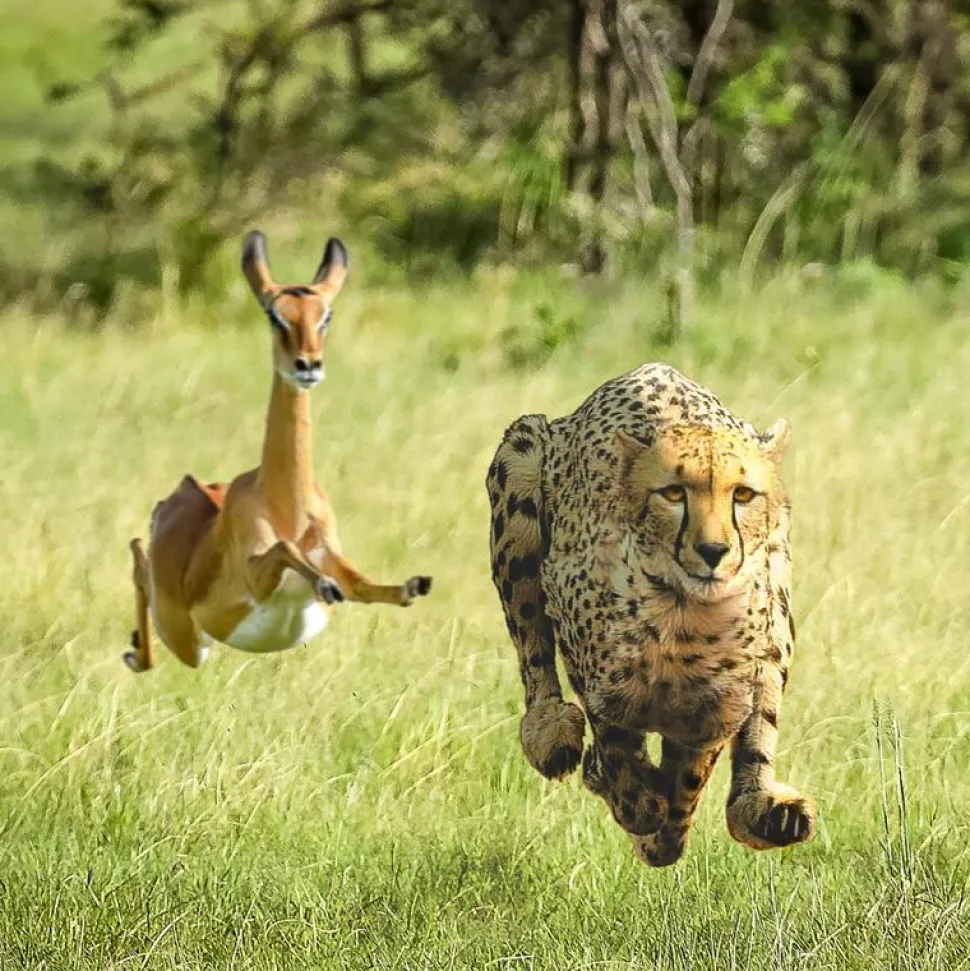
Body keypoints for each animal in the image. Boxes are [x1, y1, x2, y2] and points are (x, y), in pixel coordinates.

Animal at [126, 231, 432, 672]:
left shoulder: (334, 556)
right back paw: (134, 652)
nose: (308, 365)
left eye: (326, 315)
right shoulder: (258, 575)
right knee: (138, 560)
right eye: (275, 316)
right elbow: (287, 551)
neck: (286, 509)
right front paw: (325, 584)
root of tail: (180, 492)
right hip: (187, 639)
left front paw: (413, 585)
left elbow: (365, 584)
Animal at [486, 363, 816, 866]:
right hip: (521, 457)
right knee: (531, 647)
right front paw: (636, 805)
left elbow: (691, 772)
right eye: (673, 493)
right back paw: (551, 736)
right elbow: (614, 742)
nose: (714, 551)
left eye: (742, 494)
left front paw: (662, 832)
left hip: (778, 598)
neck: (684, 619)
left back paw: (766, 813)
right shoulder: (592, 665)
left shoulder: (717, 708)